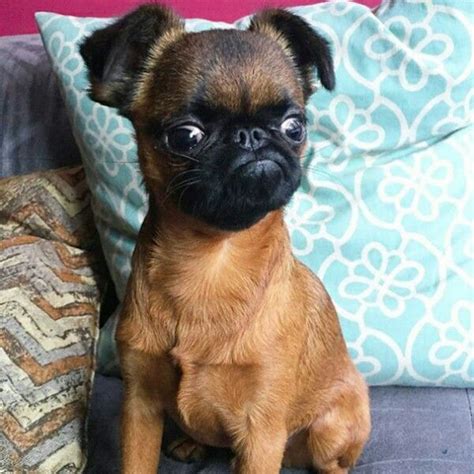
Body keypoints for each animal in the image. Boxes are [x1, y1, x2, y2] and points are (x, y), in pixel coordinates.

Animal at [80, 4, 370, 474]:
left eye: (295, 126)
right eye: (186, 135)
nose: (251, 134)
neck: (211, 260)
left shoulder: (261, 430)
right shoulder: (138, 405)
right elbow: (136, 461)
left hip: (331, 428)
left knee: (330, 459)